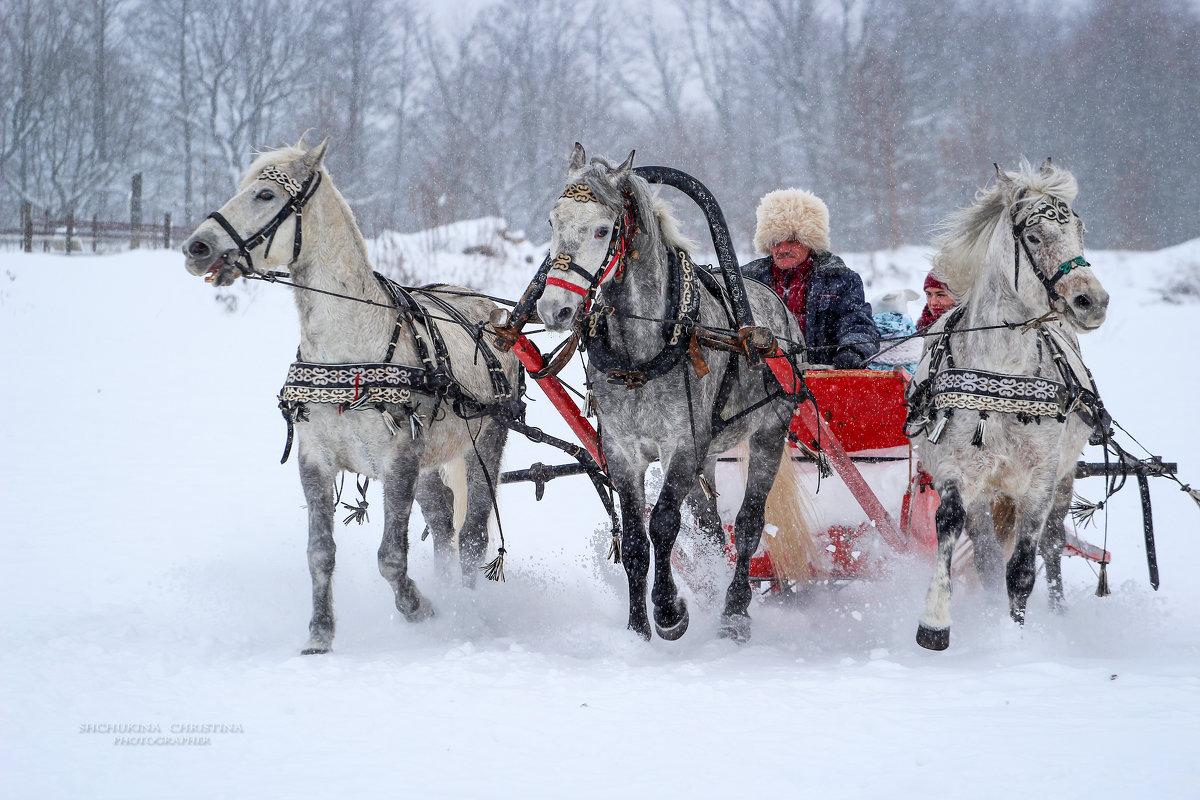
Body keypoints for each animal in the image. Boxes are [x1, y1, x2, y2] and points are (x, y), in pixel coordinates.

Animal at [180, 140, 518, 652]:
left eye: (265, 194)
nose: (196, 247)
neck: (350, 347)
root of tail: (492, 315)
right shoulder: (316, 458)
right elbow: (320, 552)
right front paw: (320, 634)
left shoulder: (399, 460)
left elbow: (391, 558)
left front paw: (419, 608)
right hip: (430, 460)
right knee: (443, 522)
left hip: (487, 443)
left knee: (473, 534)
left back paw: (466, 613)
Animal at [537, 143, 801, 642]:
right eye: (552, 222)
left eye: (602, 229)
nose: (553, 308)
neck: (640, 355)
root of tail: (778, 312)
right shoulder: (622, 451)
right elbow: (636, 541)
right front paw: (638, 627)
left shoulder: (682, 443)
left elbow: (662, 523)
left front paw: (668, 610)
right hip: (709, 454)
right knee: (712, 526)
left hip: (769, 431)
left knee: (748, 523)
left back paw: (734, 610)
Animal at [907, 160, 1113, 652]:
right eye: (1034, 236)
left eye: (1079, 229)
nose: (1091, 301)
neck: (1002, 370)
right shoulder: (958, 468)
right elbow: (951, 525)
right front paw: (935, 623)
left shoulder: (1039, 478)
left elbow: (1021, 567)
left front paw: (1016, 639)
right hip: (989, 493)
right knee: (984, 552)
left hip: (1064, 477)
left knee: (1053, 544)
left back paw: (1056, 612)